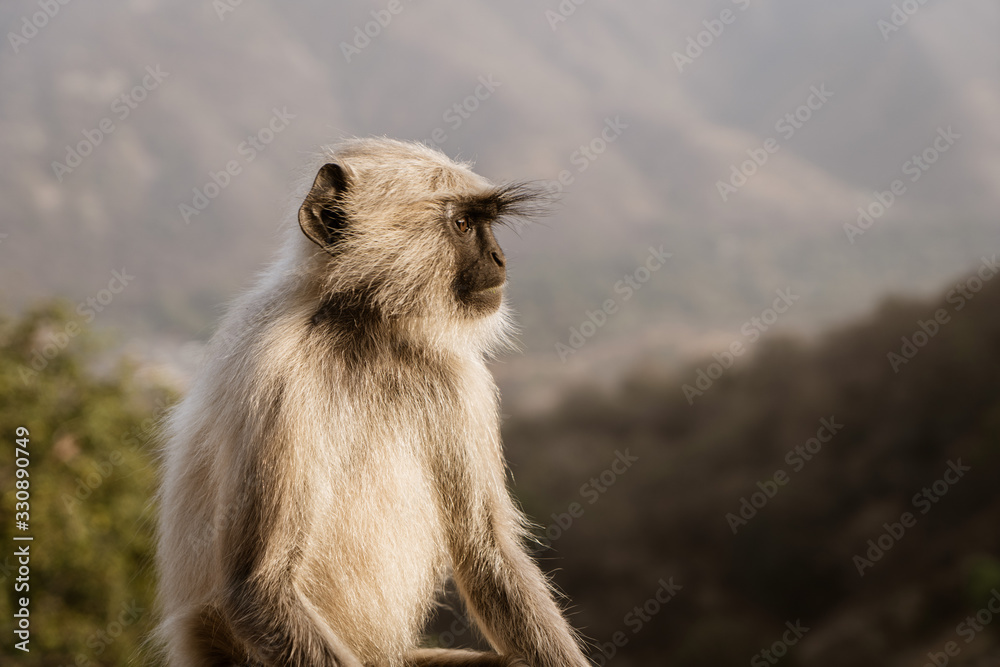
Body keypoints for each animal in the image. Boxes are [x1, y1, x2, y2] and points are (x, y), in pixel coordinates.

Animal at [155, 138, 591, 667]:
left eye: (483, 224)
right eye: (463, 225)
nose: (499, 257)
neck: (365, 331)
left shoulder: (456, 377)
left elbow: (487, 549)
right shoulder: (274, 373)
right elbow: (258, 589)